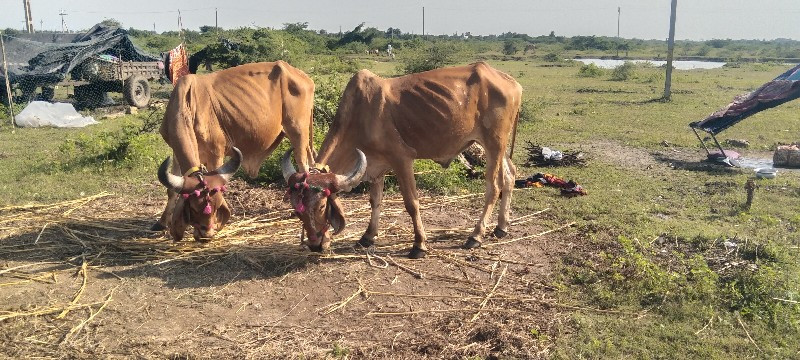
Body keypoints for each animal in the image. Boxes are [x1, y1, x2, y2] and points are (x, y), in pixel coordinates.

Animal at [156, 61, 316, 242]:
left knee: (303, 166)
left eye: (215, 206)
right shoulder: (175, 151)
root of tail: (303, 77)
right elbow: (171, 191)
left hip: (298, 131)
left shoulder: (215, 153)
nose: (206, 235)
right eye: (194, 209)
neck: (188, 105)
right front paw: (162, 222)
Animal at [282, 62, 524, 258]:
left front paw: (419, 245)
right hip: (497, 147)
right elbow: (375, 201)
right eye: (297, 211)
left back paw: (476, 236)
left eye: (322, 206)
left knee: (493, 187)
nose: (315, 245)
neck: (362, 115)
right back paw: (501, 227)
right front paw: (367, 237)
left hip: (494, 144)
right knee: (510, 175)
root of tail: (512, 83)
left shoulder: (402, 159)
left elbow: (411, 203)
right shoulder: (374, 165)